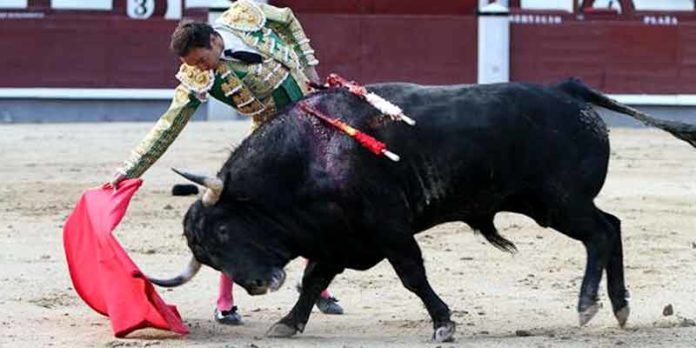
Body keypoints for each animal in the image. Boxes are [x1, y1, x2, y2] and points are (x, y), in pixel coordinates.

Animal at [152, 77, 696, 342]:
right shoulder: (336, 238)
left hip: (558, 203)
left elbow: (413, 276)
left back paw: (588, 305)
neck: (308, 157)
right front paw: (287, 323)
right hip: (553, 204)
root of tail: (566, 90)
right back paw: (620, 306)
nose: (259, 284)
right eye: (209, 256)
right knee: (613, 227)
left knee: (601, 233)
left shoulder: (389, 229)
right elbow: (312, 280)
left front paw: (443, 323)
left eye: (224, 232)